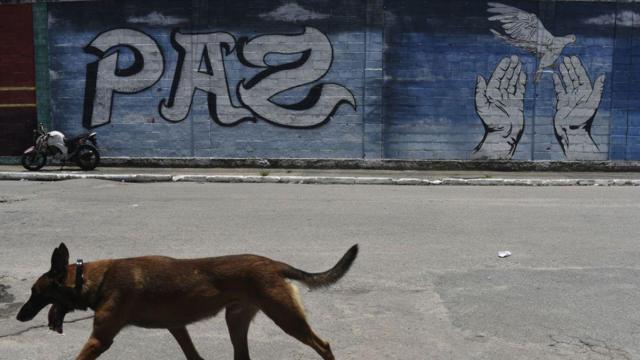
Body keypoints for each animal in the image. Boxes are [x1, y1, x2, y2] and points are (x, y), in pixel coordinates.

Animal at [15, 242, 358, 360]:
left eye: (35, 292)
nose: (19, 316)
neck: (94, 279)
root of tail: (273, 263)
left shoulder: (100, 339)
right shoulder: (177, 328)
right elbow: (194, 356)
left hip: (286, 317)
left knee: (323, 345)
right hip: (235, 319)